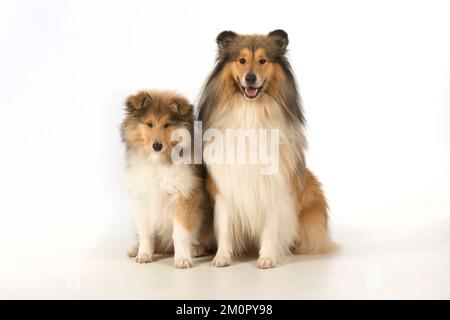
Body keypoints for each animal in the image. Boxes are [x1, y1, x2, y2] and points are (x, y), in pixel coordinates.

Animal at [121, 90, 214, 268]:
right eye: (149, 124)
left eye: (167, 125)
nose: (157, 146)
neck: (158, 163)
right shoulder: (142, 200)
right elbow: (146, 233)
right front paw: (144, 254)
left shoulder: (183, 198)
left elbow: (181, 234)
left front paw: (183, 259)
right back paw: (135, 249)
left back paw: (196, 249)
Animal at [198, 30, 338, 268]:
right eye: (242, 60)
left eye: (263, 60)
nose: (250, 78)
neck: (251, 110)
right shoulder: (224, 186)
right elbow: (224, 227)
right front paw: (222, 257)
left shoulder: (275, 185)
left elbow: (271, 228)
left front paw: (267, 257)